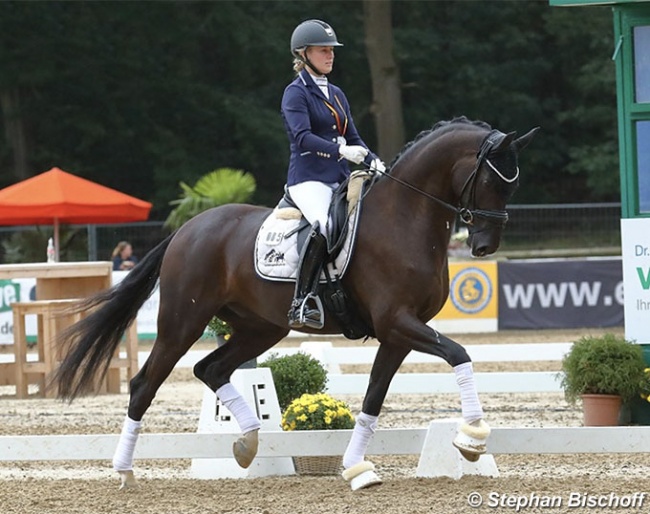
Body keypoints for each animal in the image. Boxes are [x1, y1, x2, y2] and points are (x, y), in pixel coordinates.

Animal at [52, 115, 536, 488]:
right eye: (492, 180)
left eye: (513, 185)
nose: (484, 247)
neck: (405, 218)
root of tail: (188, 229)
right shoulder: (397, 322)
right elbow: (459, 353)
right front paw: (471, 438)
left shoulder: (397, 334)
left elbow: (373, 398)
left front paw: (357, 469)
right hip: (182, 321)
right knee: (145, 385)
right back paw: (124, 471)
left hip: (261, 327)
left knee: (211, 369)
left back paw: (248, 443)